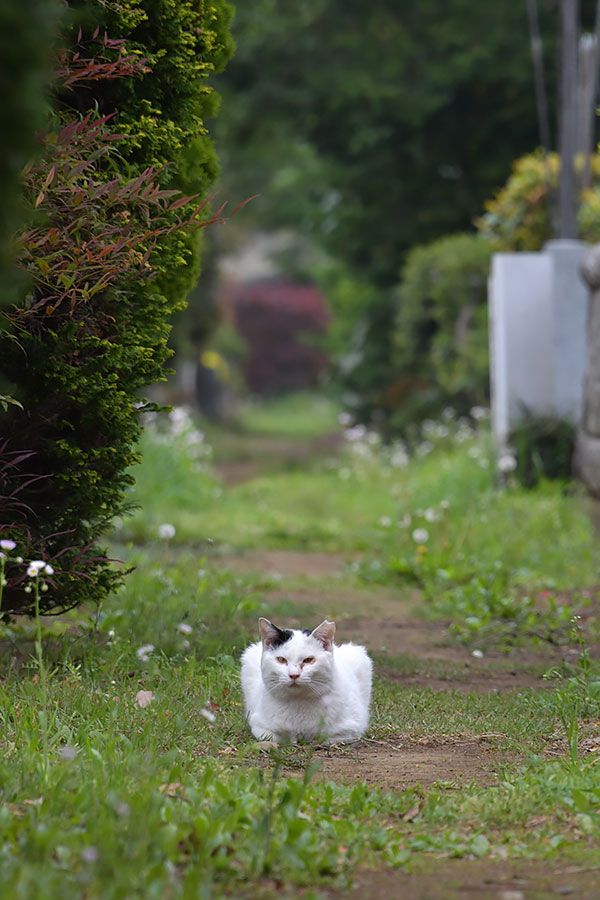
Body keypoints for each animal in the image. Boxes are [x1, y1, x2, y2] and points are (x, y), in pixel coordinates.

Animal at [239, 616, 370, 740]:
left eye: (308, 660)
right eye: (281, 660)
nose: (294, 675)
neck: (299, 703)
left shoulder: (350, 728)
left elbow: (328, 737)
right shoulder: (259, 725)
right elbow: (276, 737)